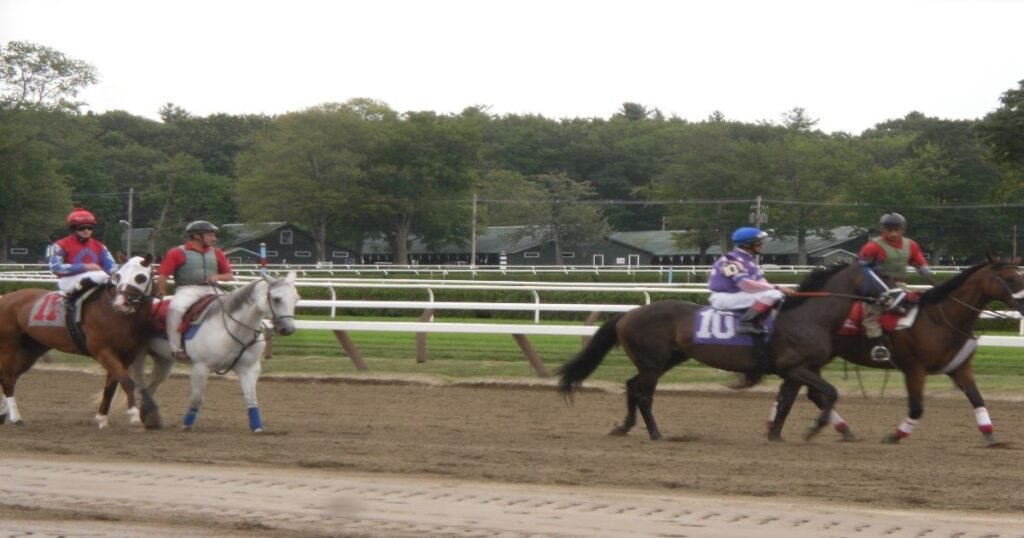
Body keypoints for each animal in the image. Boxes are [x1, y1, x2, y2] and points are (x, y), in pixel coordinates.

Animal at [130, 270, 299, 430]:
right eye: (276, 298)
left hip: (164, 361)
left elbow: (251, 398)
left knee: (150, 388)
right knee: (139, 385)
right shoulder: (201, 367)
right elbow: (197, 399)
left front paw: (256, 426)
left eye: (296, 298)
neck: (230, 328)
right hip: (138, 357)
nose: (288, 329)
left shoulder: (249, 368)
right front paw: (187, 424)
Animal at [557, 262, 884, 442]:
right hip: (653, 362)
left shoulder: (799, 370)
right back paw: (656, 433)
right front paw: (813, 429)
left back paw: (625, 427)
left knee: (632, 386)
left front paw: (777, 435)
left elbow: (792, 402)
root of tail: (628, 314)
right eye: (880, 278)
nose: (892, 296)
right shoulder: (796, 367)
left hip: (666, 359)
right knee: (643, 394)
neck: (808, 316)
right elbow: (829, 393)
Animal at [770, 256, 1024, 444]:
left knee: (799, 389)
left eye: (1020, 275)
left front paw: (990, 435)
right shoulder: (914, 368)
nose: (1023, 303)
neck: (939, 319)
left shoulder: (959, 367)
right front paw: (894, 435)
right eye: (1010, 278)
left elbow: (977, 399)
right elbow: (916, 408)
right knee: (802, 390)